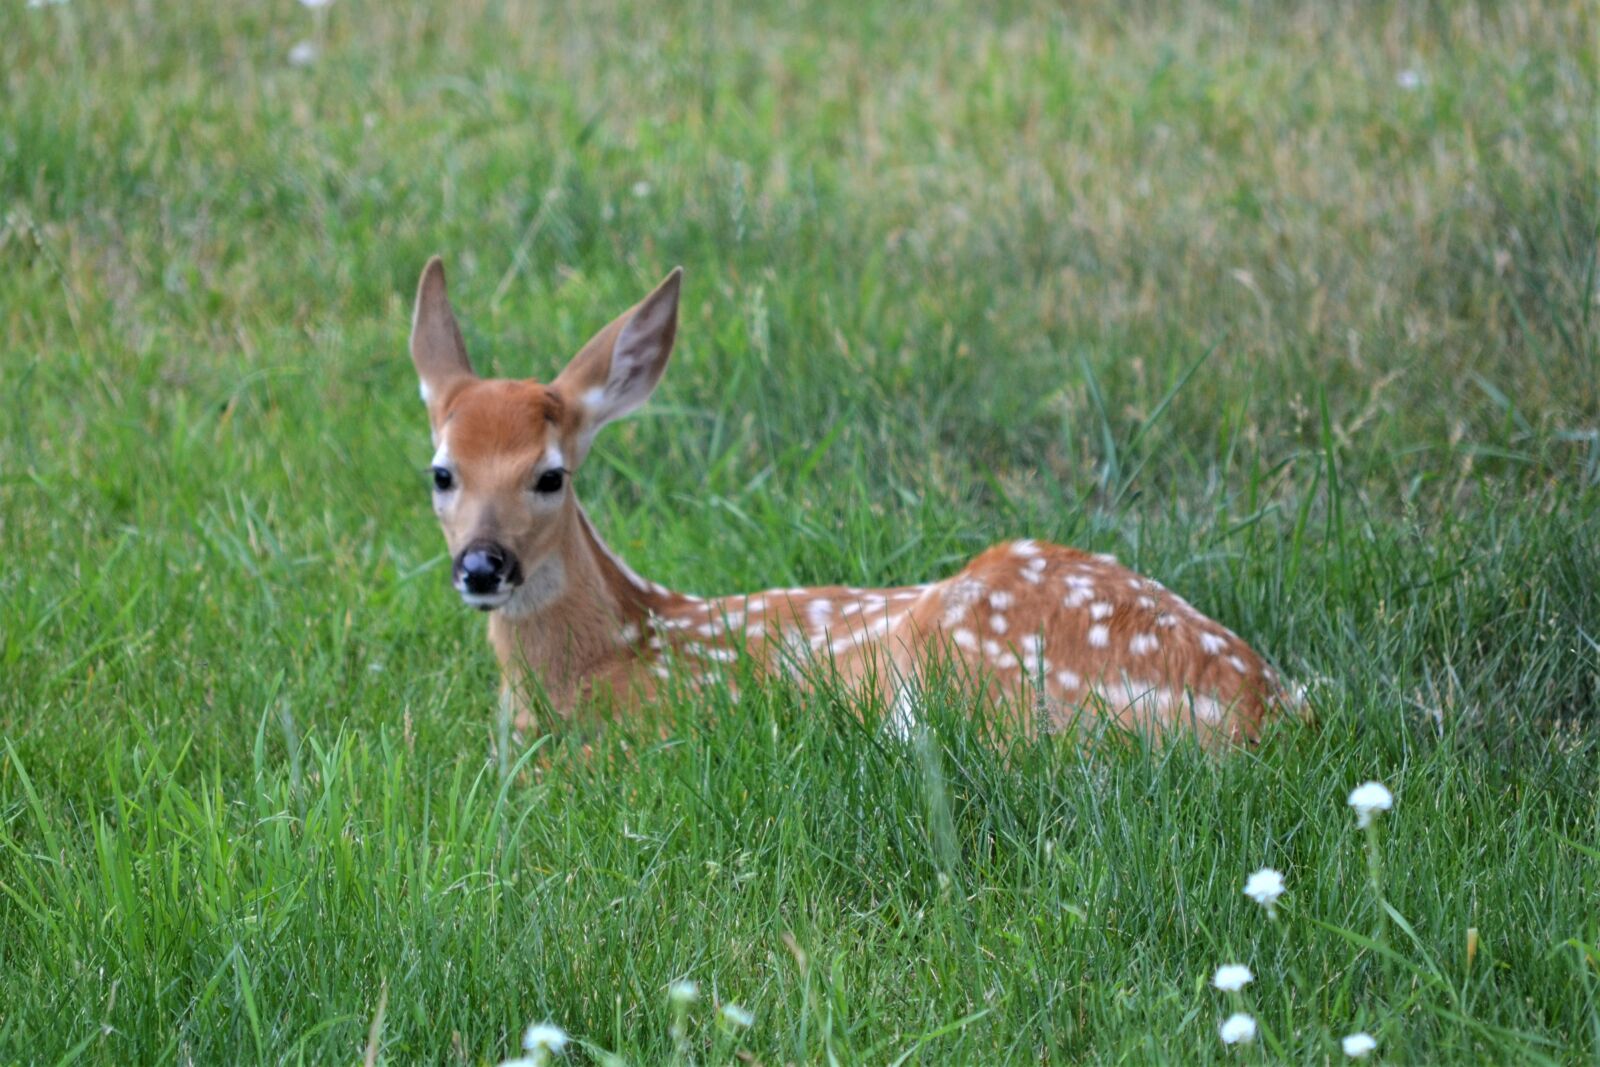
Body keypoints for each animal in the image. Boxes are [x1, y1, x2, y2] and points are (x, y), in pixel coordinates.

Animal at [408, 257, 1300, 745]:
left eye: (550, 475)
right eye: (442, 472)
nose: (483, 565)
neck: (612, 650)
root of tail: (1272, 711)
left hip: (971, 669)